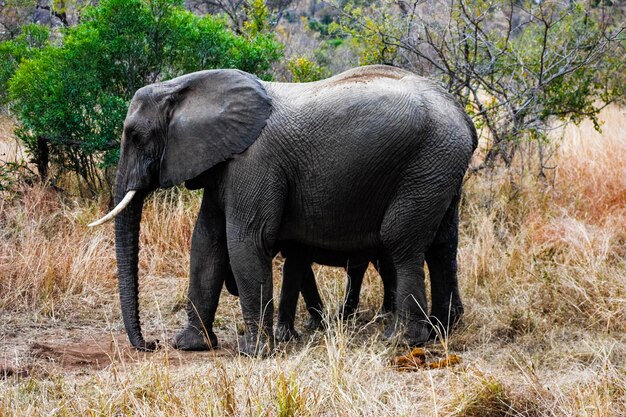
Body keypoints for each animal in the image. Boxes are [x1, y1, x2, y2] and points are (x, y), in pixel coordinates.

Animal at [88, 64, 476, 354]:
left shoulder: (256, 161)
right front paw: (192, 345)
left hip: (426, 163)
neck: (184, 86)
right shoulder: (223, 163)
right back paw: (444, 329)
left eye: (136, 136)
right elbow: (206, 243)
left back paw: (403, 339)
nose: (150, 343)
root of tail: (462, 115)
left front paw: (253, 352)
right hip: (441, 167)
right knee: (443, 244)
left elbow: (246, 240)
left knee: (401, 241)